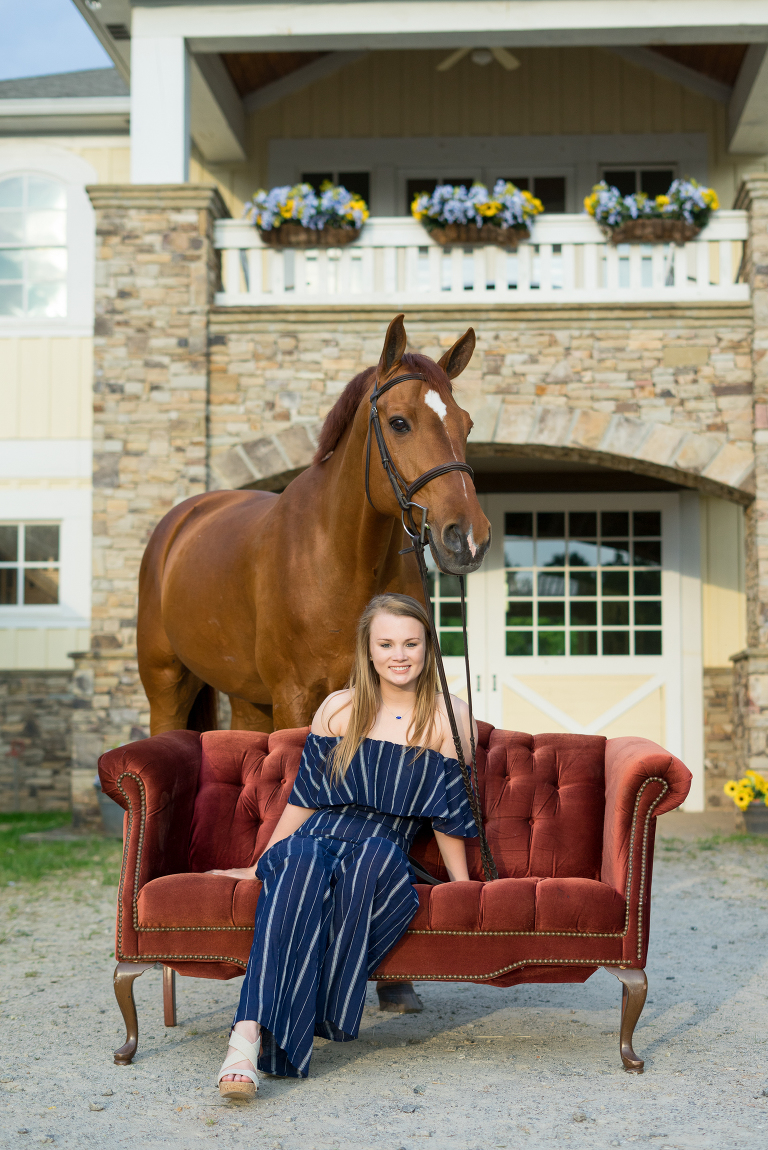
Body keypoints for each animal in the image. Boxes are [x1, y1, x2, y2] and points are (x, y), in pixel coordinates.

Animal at [137, 310, 492, 731]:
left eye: (467, 425)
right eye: (399, 423)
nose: (469, 537)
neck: (339, 561)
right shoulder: (293, 698)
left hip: (246, 698)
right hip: (167, 688)